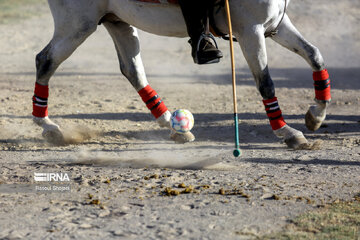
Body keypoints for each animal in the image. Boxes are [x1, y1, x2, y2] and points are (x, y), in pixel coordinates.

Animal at [33, 0, 332, 149]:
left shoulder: (275, 26)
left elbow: (315, 55)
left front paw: (315, 116)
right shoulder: (251, 31)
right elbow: (266, 83)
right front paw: (288, 132)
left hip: (116, 22)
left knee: (133, 71)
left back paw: (172, 125)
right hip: (76, 25)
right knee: (45, 61)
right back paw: (48, 127)